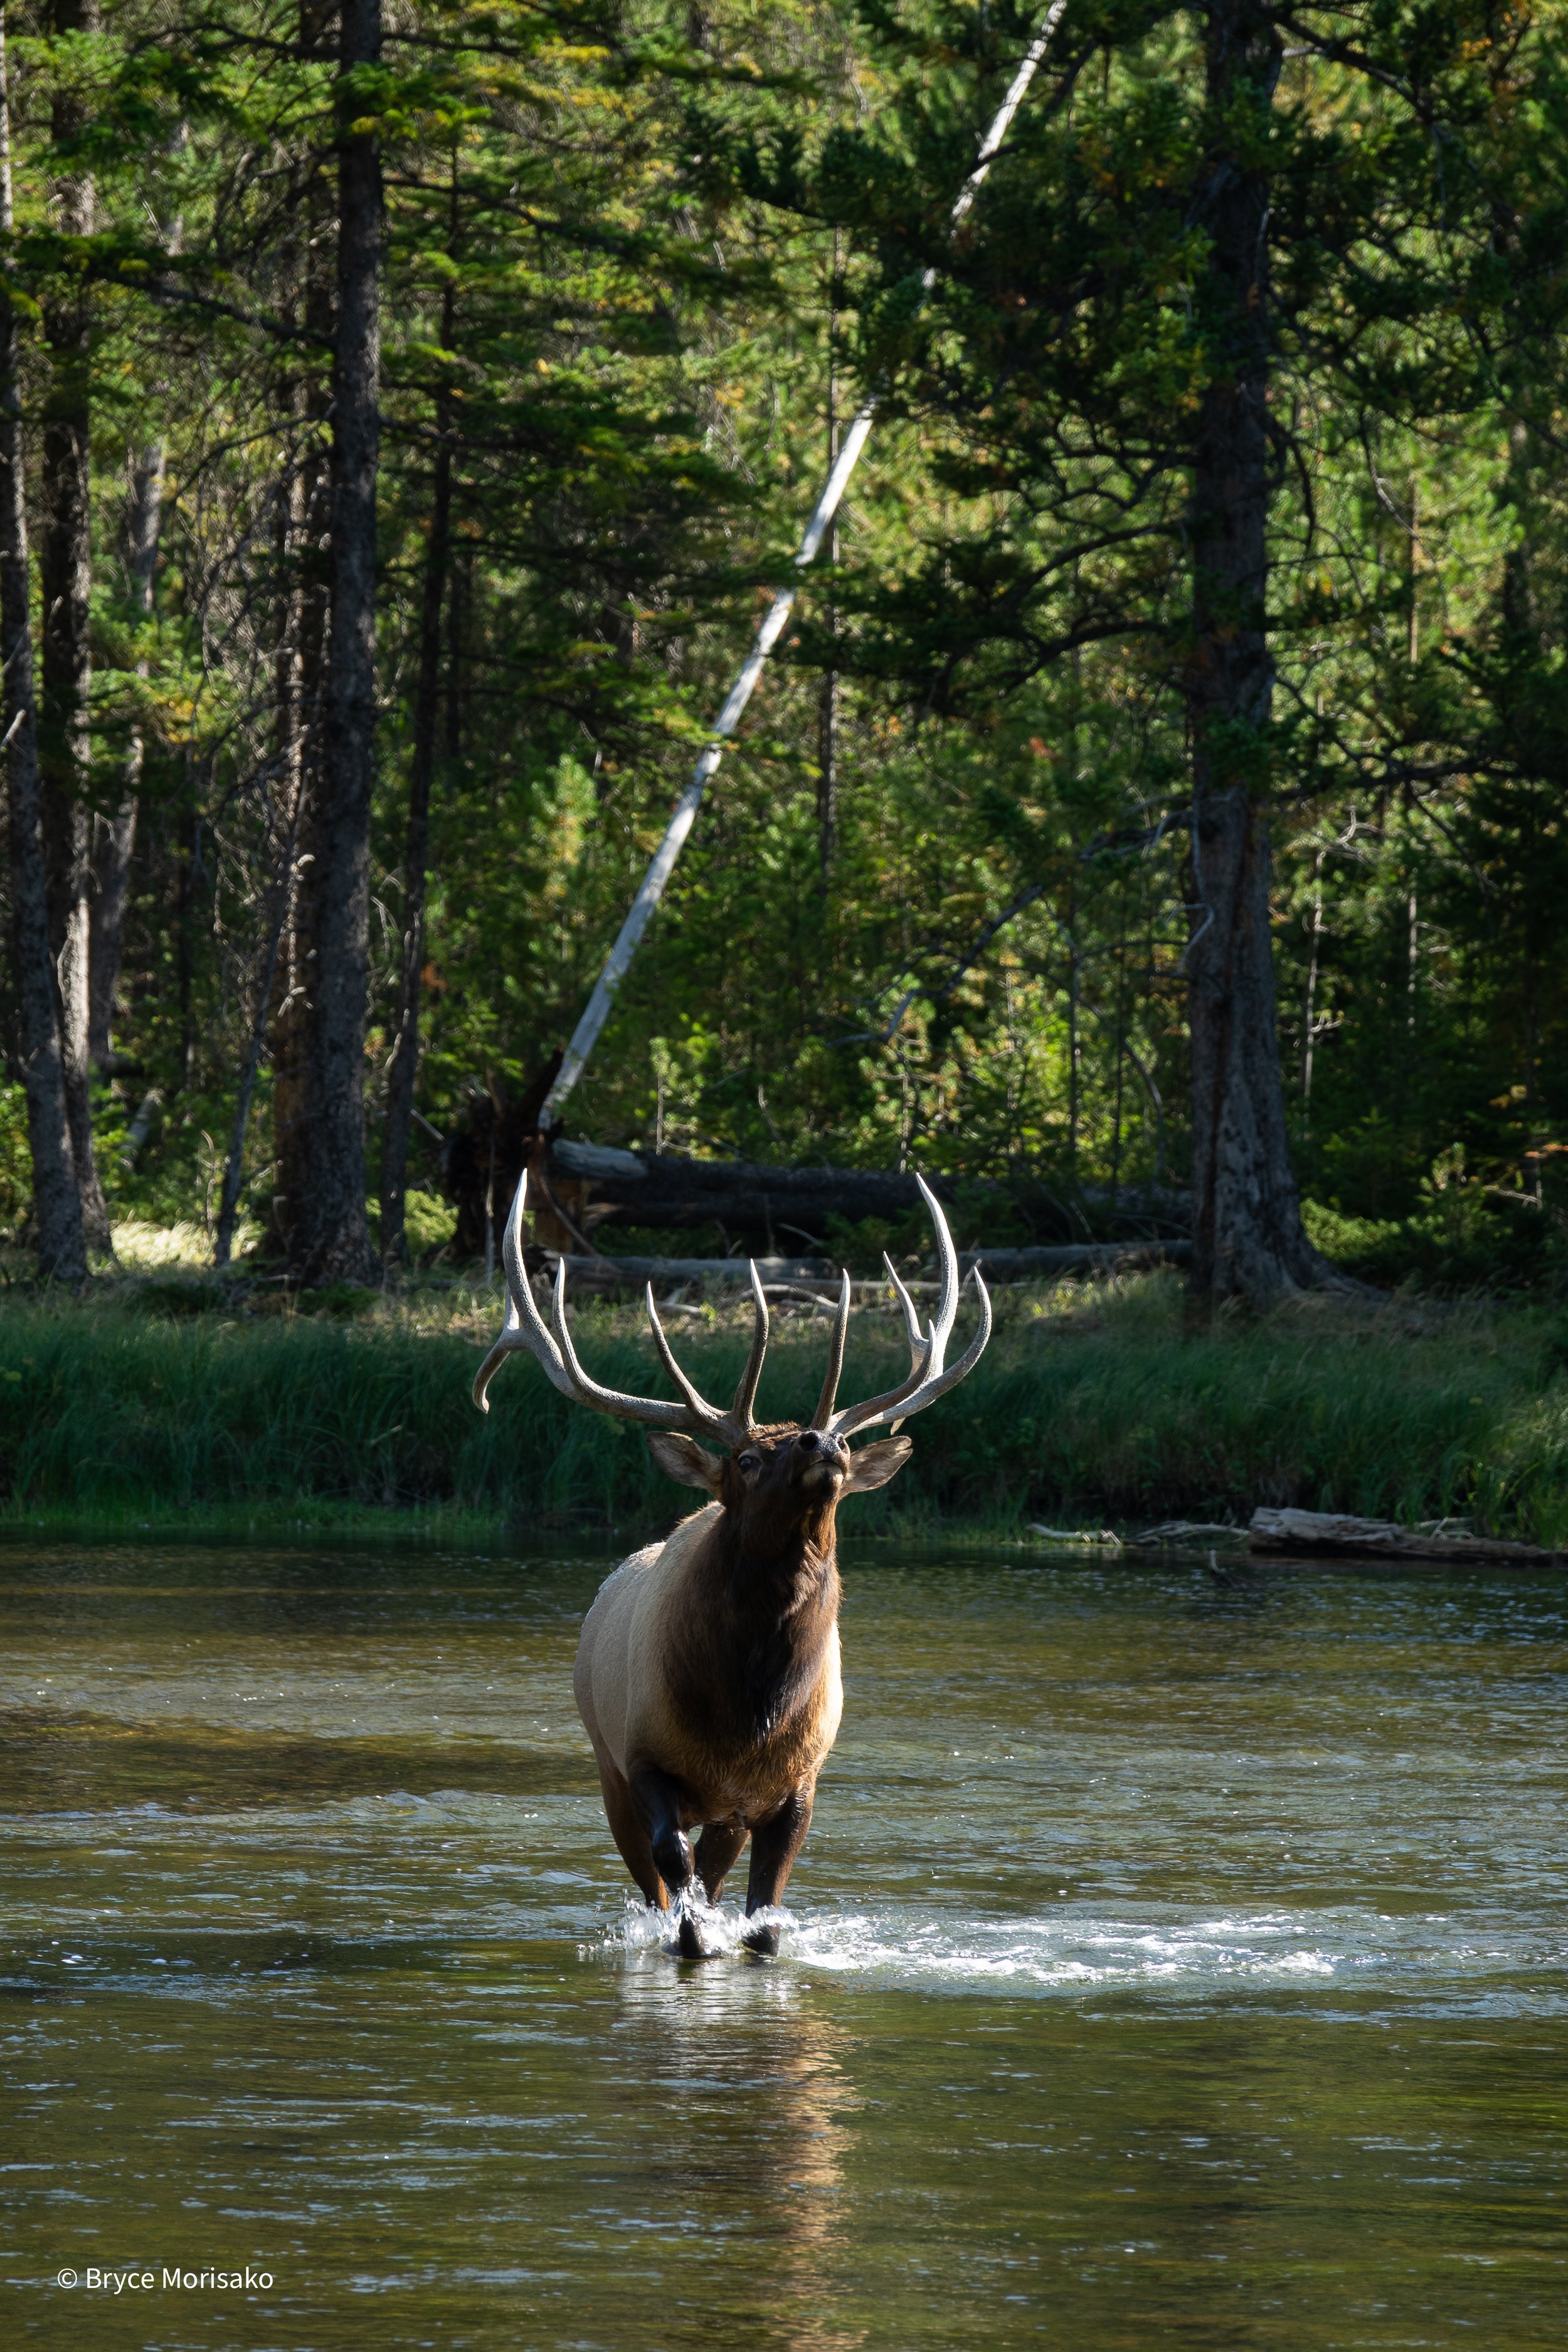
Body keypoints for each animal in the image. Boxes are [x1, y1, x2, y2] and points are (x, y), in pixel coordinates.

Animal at [473, 1169, 990, 1958]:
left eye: (839, 1442)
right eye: (746, 1458)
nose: (822, 1442)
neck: (748, 1719)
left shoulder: (795, 1784)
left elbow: (764, 1916)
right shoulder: (643, 1760)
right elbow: (675, 1885)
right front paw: (688, 1939)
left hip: (724, 1812)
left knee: (713, 1874)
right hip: (607, 1764)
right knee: (658, 1876)